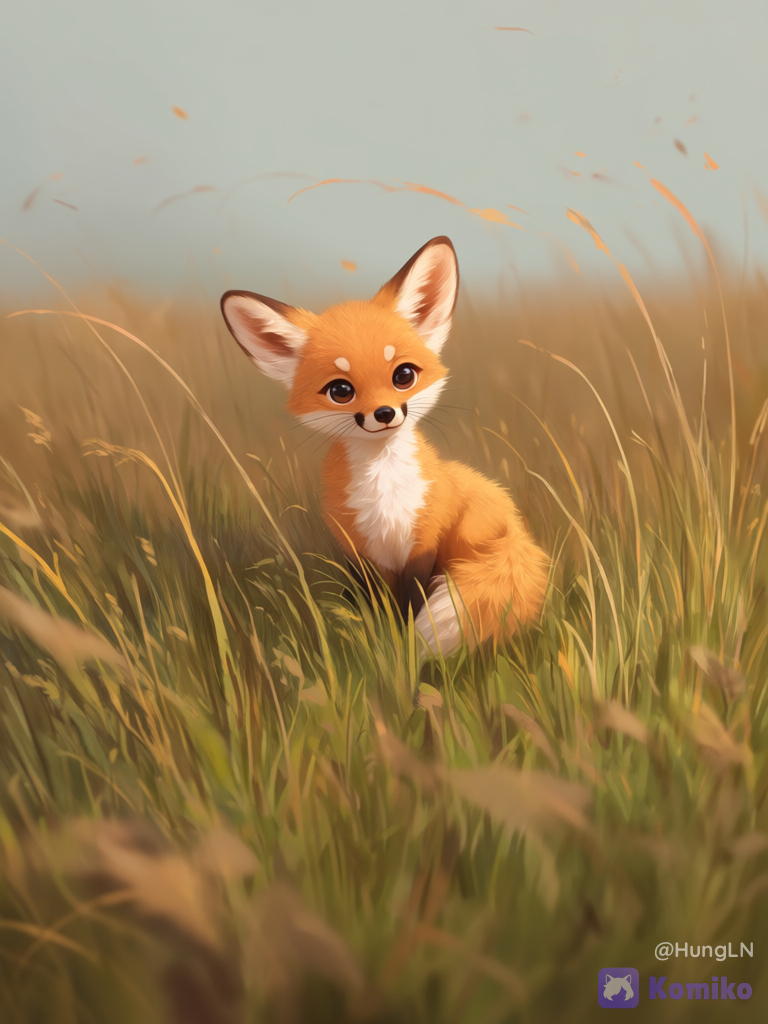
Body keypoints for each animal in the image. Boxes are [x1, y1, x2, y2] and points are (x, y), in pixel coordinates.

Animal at [220, 236, 549, 658]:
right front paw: (382, 642)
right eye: (340, 391)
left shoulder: (423, 546)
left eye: (403, 375)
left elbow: (412, 607)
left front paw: (407, 649)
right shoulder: (362, 552)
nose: (384, 413)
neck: (385, 494)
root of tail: (518, 533)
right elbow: (377, 607)